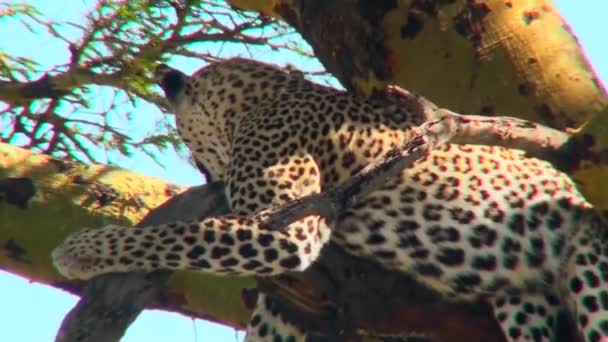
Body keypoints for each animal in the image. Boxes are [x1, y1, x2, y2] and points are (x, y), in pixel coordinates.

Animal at [51, 58, 608, 342]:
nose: (204, 175)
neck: (262, 95)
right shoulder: (294, 299)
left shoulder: (286, 230)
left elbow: (178, 234)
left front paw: (83, 250)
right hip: (522, 300)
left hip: (590, 260)